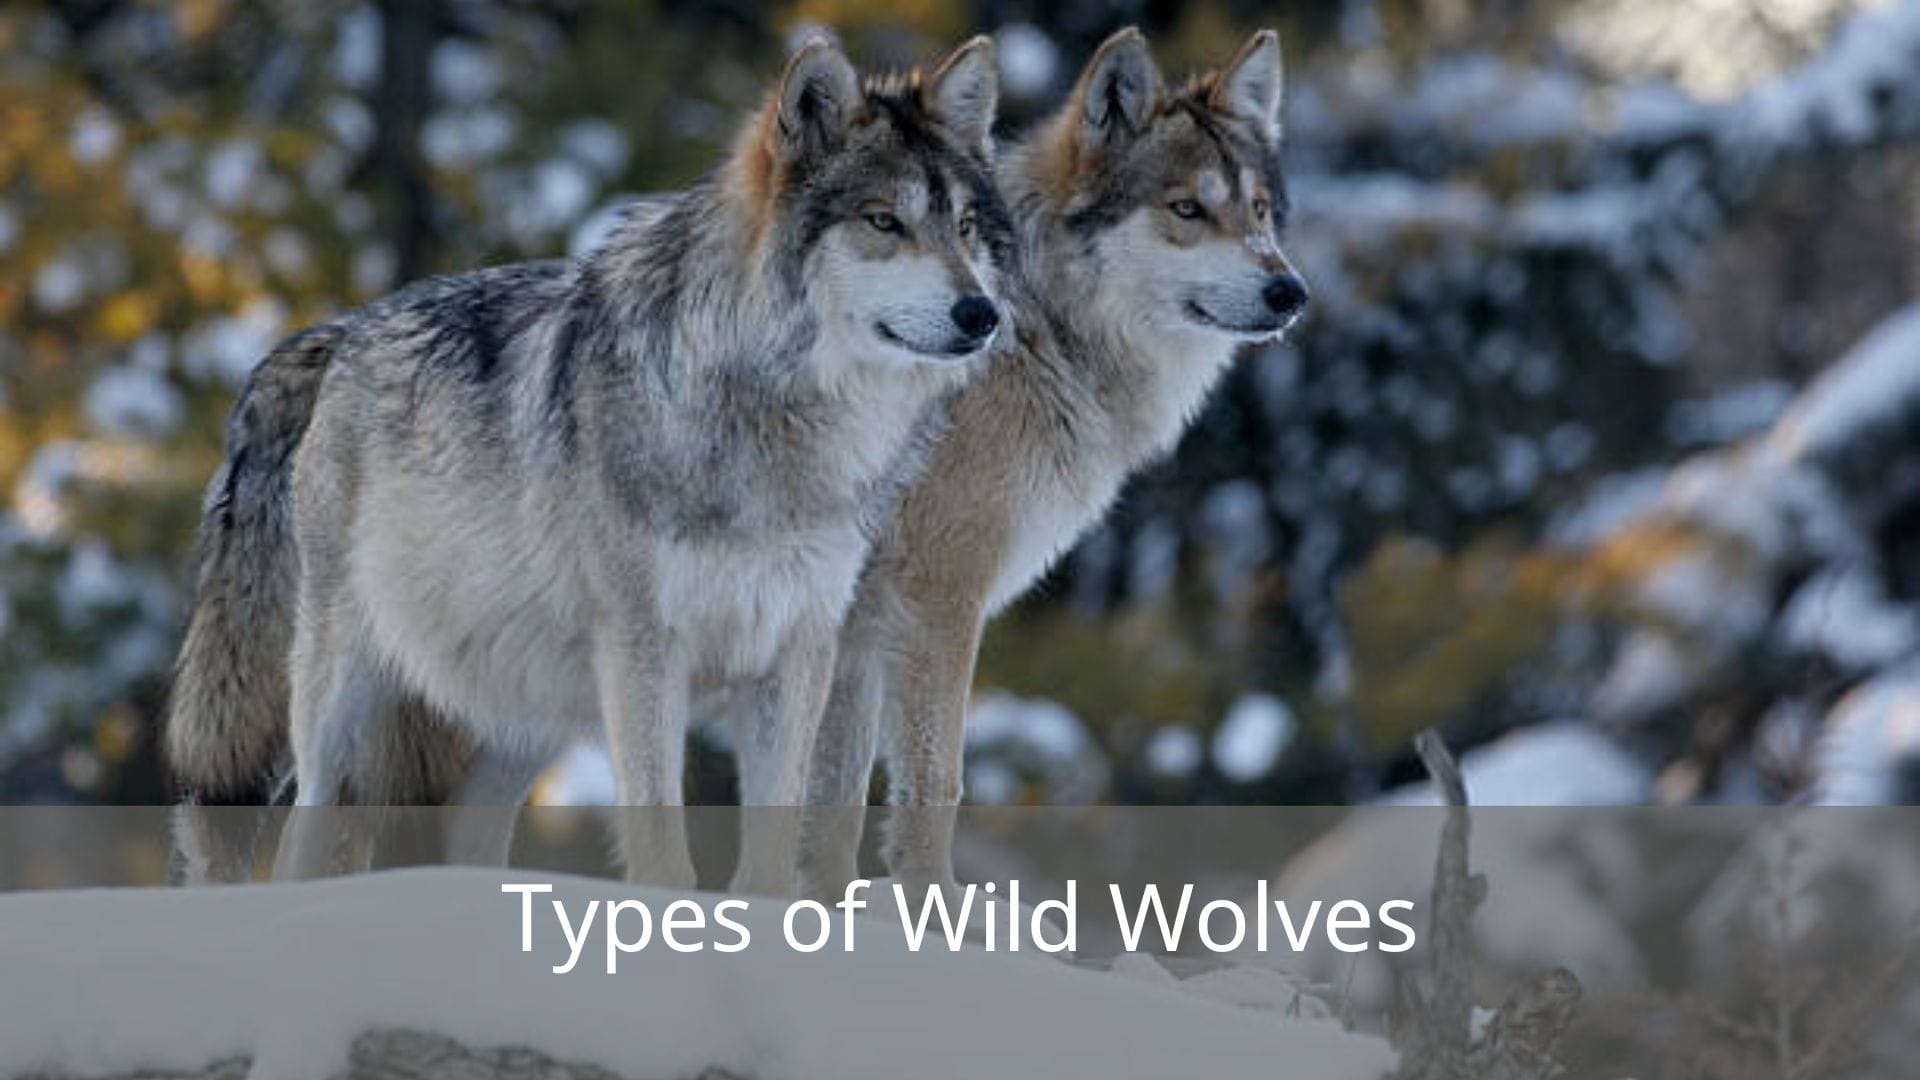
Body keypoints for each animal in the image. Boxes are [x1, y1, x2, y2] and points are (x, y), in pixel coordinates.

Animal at [166, 36, 1012, 893]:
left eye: (967, 226)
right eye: (884, 221)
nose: (982, 313)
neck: (778, 424)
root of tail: (341, 331)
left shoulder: (799, 651)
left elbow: (773, 853)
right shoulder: (646, 649)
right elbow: (664, 845)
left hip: (525, 718)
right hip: (346, 689)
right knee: (305, 826)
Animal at [801, 28, 1307, 894]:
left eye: (1260, 211)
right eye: (1187, 209)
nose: (1291, 292)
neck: (1039, 334)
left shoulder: (858, 634)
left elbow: (831, 813)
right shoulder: (937, 602)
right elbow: (935, 784)